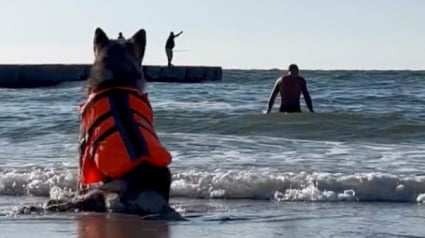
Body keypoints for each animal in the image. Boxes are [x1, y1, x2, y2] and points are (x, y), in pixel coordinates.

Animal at [18, 28, 182, 221]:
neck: (116, 81)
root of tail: (147, 195)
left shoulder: (82, 146)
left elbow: (80, 180)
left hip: (104, 191)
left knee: (81, 201)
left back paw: (48, 204)